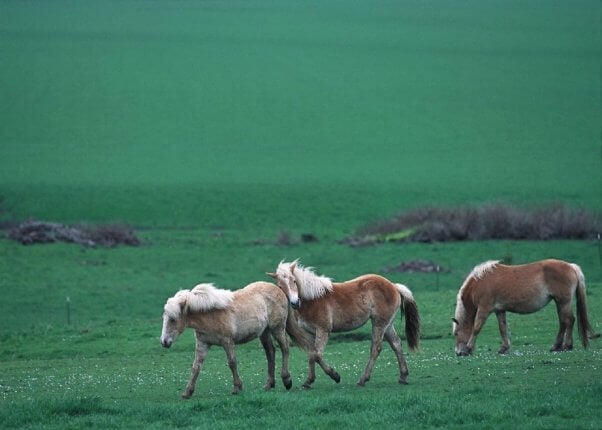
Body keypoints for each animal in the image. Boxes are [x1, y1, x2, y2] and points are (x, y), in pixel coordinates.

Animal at [159, 280, 290, 398]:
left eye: (173, 319)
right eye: (164, 318)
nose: (164, 342)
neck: (209, 315)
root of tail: (278, 289)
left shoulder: (227, 342)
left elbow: (232, 363)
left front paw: (237, 387)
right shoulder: (203, 344)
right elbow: (196, 366)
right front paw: (187, 392)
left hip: (277, 328)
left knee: (285, 348)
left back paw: (287, 380)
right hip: (264, 332)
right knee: (270, 352)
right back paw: (269, 384)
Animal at [268, 260, 418, 388]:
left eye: (294, 281)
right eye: (280, 286)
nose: (294, 302)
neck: (312, 299)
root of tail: (394, 286)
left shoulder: (323, 331)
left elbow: (317, 355)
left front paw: (335, 376)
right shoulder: (310, 333)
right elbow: (312, 354)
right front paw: (308, 381)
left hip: (379, 324)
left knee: (376, 348)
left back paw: (362, 380)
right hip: (388, 325)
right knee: (396, 344)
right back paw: (403, 376)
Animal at [450, 258, 596, 356]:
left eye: (456, 333)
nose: (458, 352)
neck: (480, 282)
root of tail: (571, 266)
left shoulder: (484, 309)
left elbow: (476, 328)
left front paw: (468, 348)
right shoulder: (499, 310)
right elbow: (502, 328)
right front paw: (504, 348)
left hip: (563, 302)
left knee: (569, 320)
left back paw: (567, 345)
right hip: (560, 302)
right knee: (563, 322)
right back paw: (556, 346)